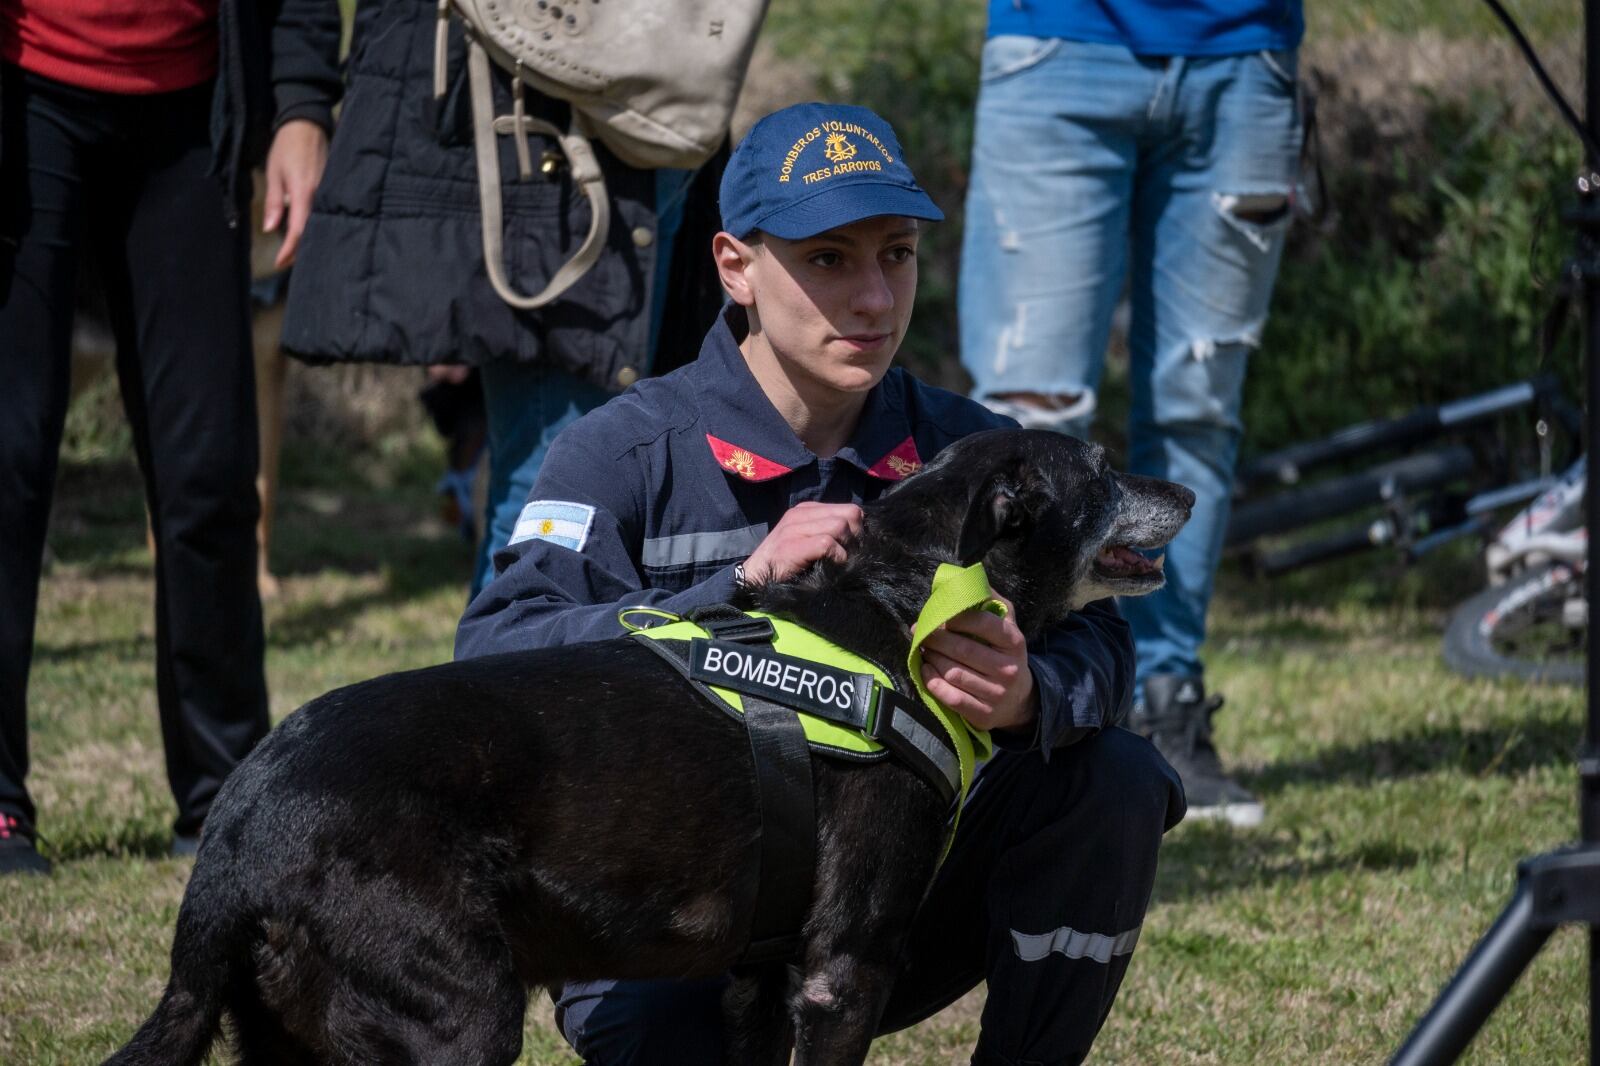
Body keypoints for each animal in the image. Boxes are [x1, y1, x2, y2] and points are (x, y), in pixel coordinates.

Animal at [106, 428, 1190, 1062]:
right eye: (1101, 472)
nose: (1184, 490)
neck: (902, 602)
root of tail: (234, 834)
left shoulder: (761, 984)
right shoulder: (844, 968)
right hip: (458, 1014)